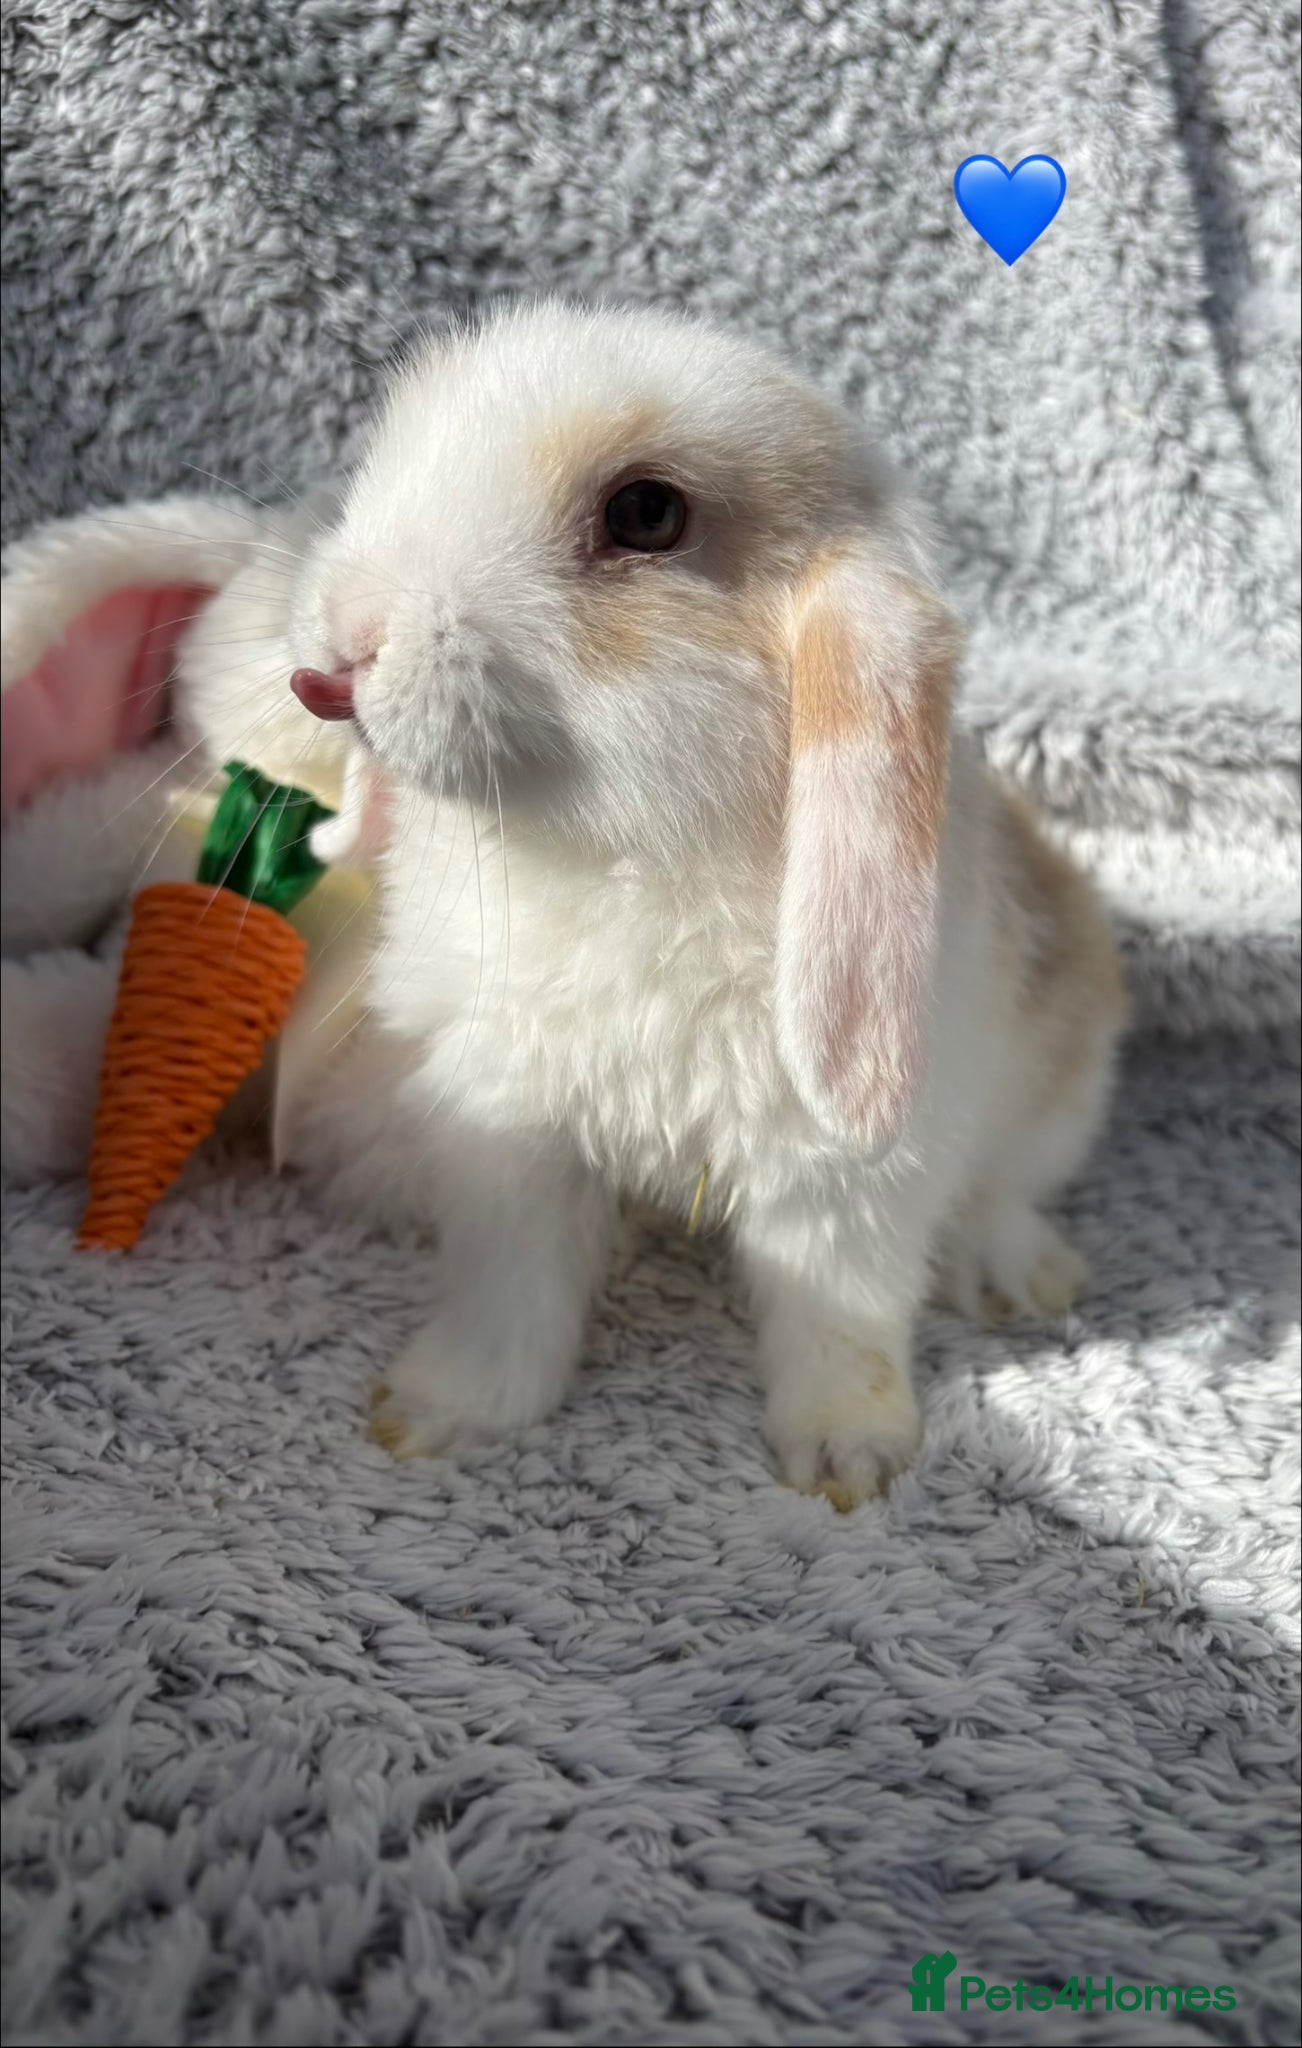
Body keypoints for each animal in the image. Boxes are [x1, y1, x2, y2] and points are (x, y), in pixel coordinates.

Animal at [274, 298, 1128, 1506]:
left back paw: (1017, 1274)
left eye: (645, 513)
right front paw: (442, 1414)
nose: (334, 658)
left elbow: (841, 1320)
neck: (617, 861)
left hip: (1063, 1083)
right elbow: (509, 1293)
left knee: (1005, 1186)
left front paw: (848, 1462)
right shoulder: (510, 1135)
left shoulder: (843, 1183)